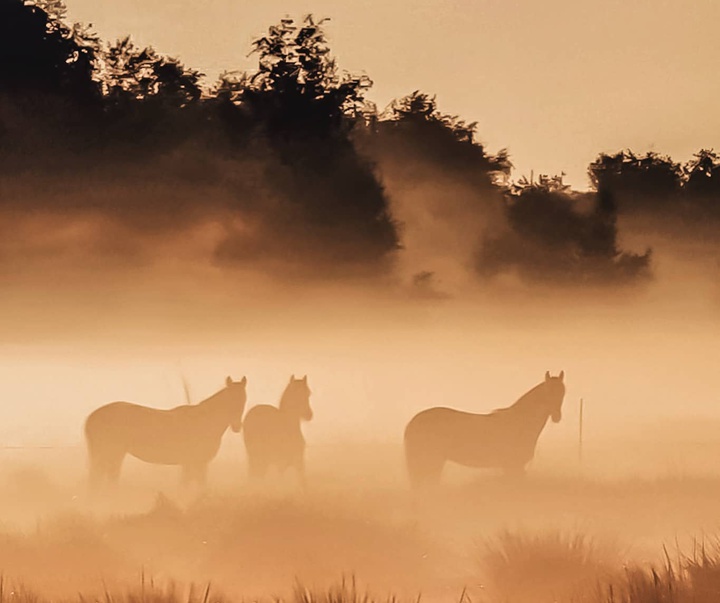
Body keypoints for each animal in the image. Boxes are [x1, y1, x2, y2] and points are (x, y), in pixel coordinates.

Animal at [83, 376, 248, 488]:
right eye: (230, 399)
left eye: (244, 400)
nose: (236, 426)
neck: (204, 420)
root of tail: (92, 416)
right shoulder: (192, 463)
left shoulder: (197, 463)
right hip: (113, 454)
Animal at [402, 370, 564, 488]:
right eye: (548, 391)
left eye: (563, 392)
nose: (557, 417)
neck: (520, 422)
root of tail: (413, 422)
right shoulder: (512, 467)